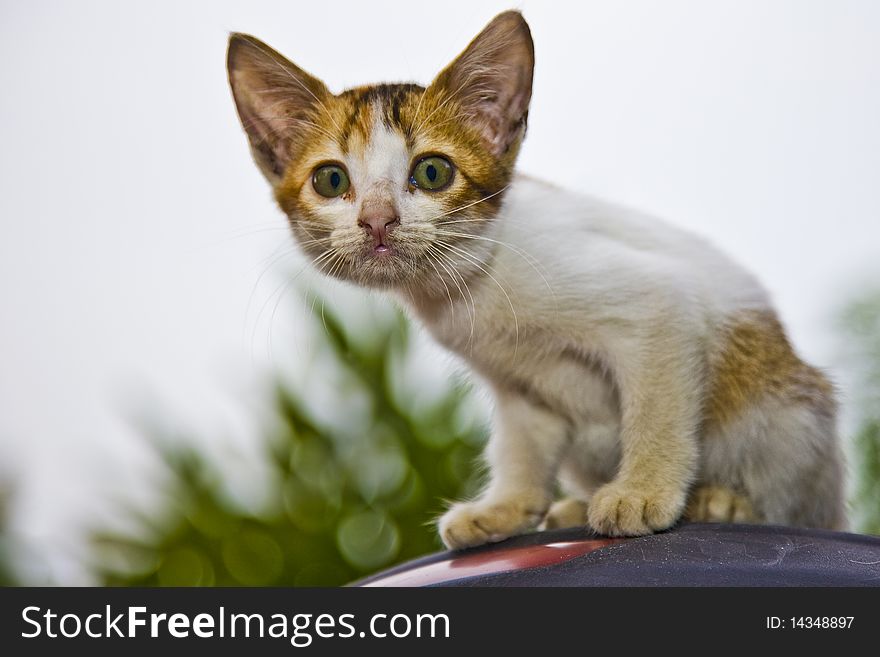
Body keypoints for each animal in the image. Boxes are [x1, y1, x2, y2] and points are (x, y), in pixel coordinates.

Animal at [227, 11, 844, 548]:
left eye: (432, 171)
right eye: (331, 180)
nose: (377, 220)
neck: (467, 287)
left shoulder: (660, 303)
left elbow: (656, 408)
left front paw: (643, 492)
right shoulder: (518, 386)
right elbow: (522, 445)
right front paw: (507, 506)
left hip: (787, 417)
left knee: (796, 506)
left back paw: (722, 501)